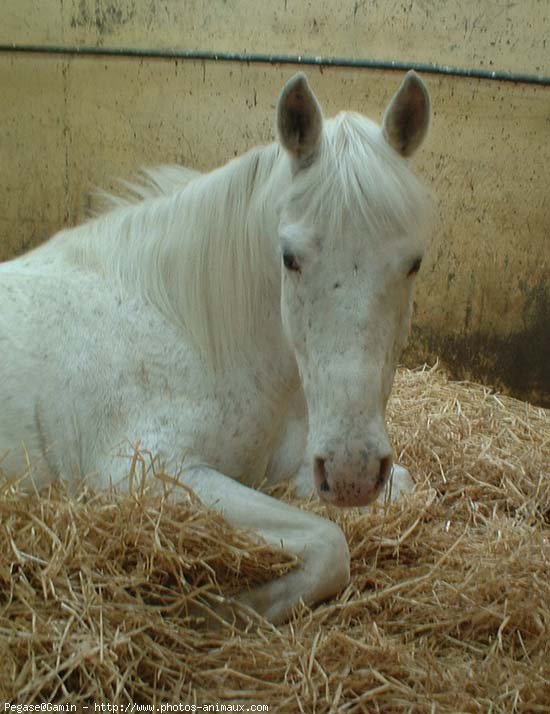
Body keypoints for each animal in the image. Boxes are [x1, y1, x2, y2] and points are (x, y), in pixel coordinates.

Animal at [1, 69, 432, 620]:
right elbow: (330, 543)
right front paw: (223, 610)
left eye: (414, 262)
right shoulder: (142, 475)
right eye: (289, 257)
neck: (189, 331)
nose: (350, 472)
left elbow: (394, 491)